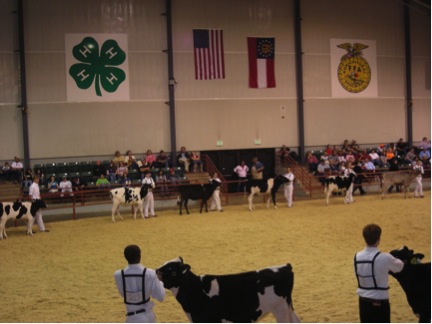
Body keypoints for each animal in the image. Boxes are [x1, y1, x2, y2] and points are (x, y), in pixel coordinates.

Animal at [156, 256, 300, 322]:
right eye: (164, 263)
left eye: (172, 271)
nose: (156, 270)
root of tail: (285, 267)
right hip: (288, 307)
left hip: (280, 310)